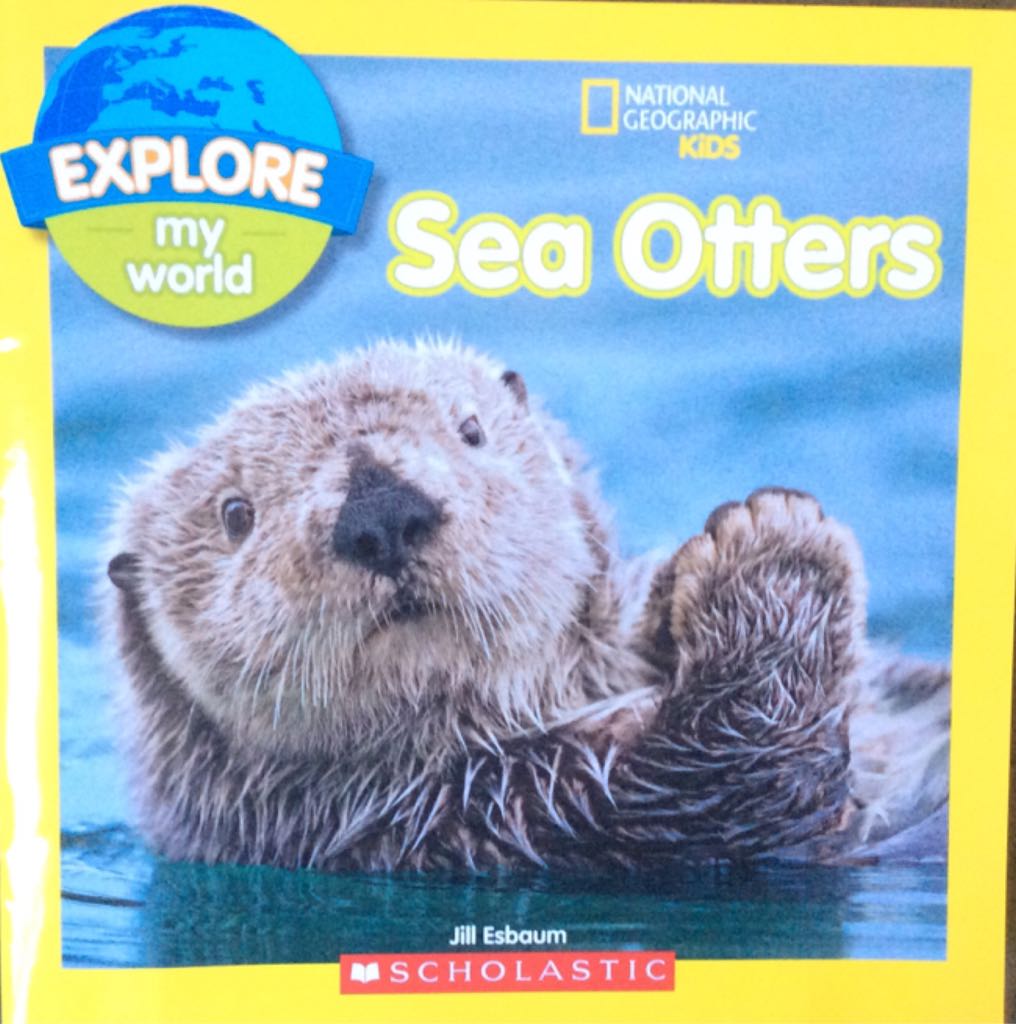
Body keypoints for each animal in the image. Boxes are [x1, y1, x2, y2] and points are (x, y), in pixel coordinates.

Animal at [104, 340, 950, 872]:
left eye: (471, 430)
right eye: (235, 514)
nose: (380, 511)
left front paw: (675, 588)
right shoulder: (513, 823)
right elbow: (747, 782)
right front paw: (772, 541)